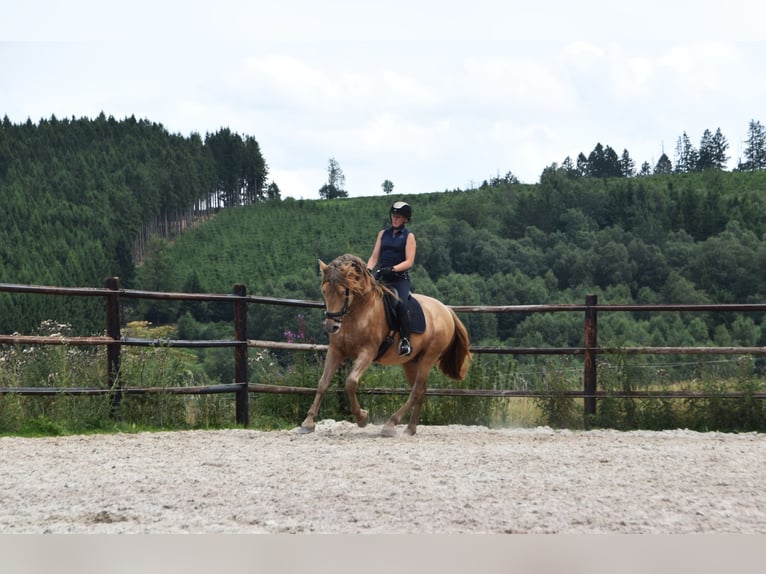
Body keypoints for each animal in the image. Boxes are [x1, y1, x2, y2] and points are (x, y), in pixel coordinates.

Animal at [300, 253, 472, 437]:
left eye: (342, 292)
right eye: (324, 291)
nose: (331, 326)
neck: (359, 311)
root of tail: (446, 310)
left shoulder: (367, 352)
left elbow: (351, 383)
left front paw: (362, 418)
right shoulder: (336, 351)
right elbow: (322, 383)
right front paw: (308, 422)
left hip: (428, 358)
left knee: (416, 391)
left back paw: (391, 424)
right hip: (411, 362)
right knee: (421, 391)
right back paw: (410, 428)